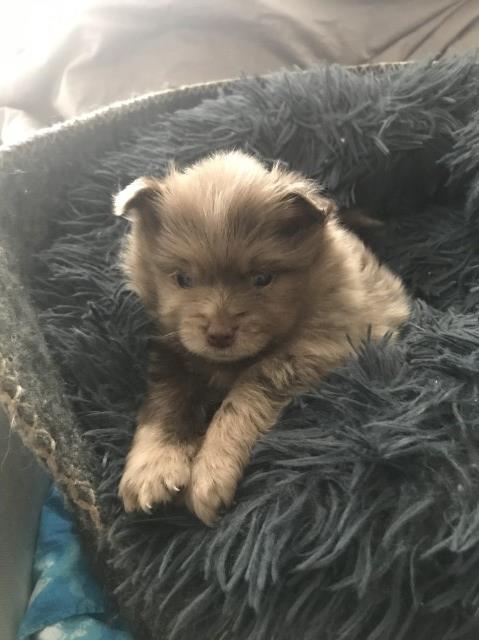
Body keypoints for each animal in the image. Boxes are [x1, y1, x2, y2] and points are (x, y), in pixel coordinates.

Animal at [112, 151, 408, 524]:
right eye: (182, 279)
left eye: (262, 278)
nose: (219, 335)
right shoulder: (173, 349)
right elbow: (166, 403)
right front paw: (151, 468)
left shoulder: (319, 346)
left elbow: (243, 397)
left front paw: (211, 471)